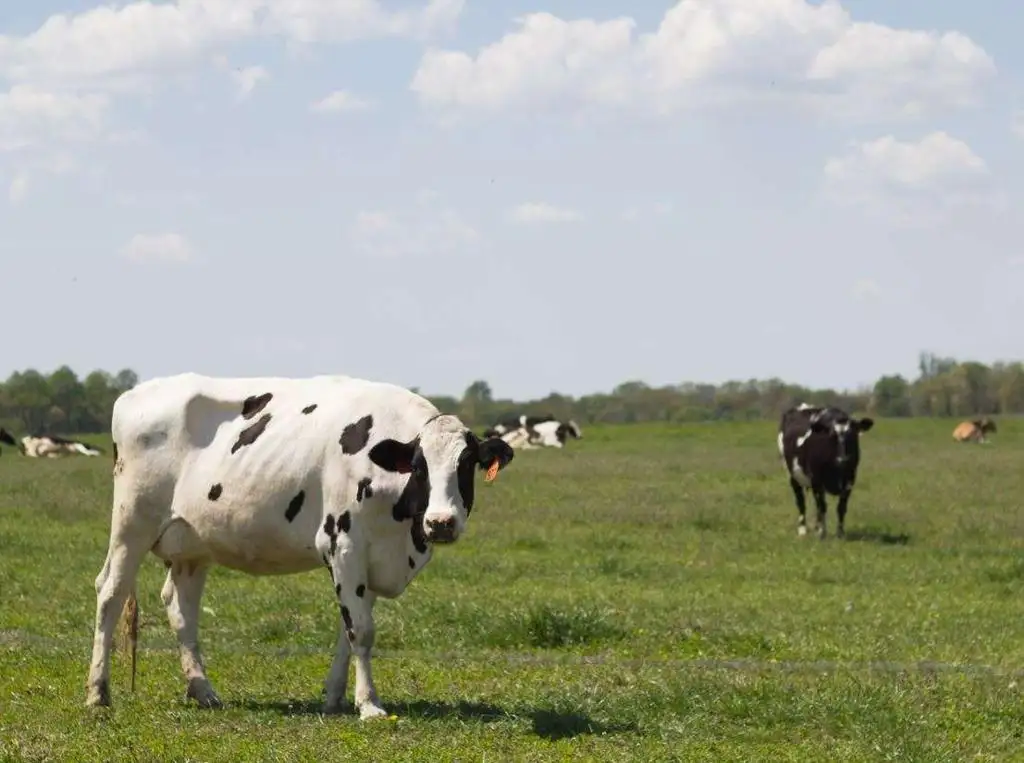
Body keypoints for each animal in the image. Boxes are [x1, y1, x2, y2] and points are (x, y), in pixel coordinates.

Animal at [83, 372, 516, 716]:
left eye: (467, 465)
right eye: (419, 466)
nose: (441, 523)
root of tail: (134, 393)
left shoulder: (371, 561)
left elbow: (348, 630)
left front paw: (336, 697)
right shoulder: (343, 544)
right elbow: (362, 630)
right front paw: (369, 704)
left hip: (192, 542)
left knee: (180, 607)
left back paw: (203, 690)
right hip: (132, 522)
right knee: (110, 592)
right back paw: (98, 693)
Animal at [774, 401, 872, 540]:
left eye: (853, 435)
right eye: (831, 435)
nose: (842, 459)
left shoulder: (850, 480)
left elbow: (841, 507)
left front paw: (840, 533)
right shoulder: (816, 479)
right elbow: (822, 506)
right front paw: (821, 533)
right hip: (791, 475)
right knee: (801, 502)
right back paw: (803, 530)